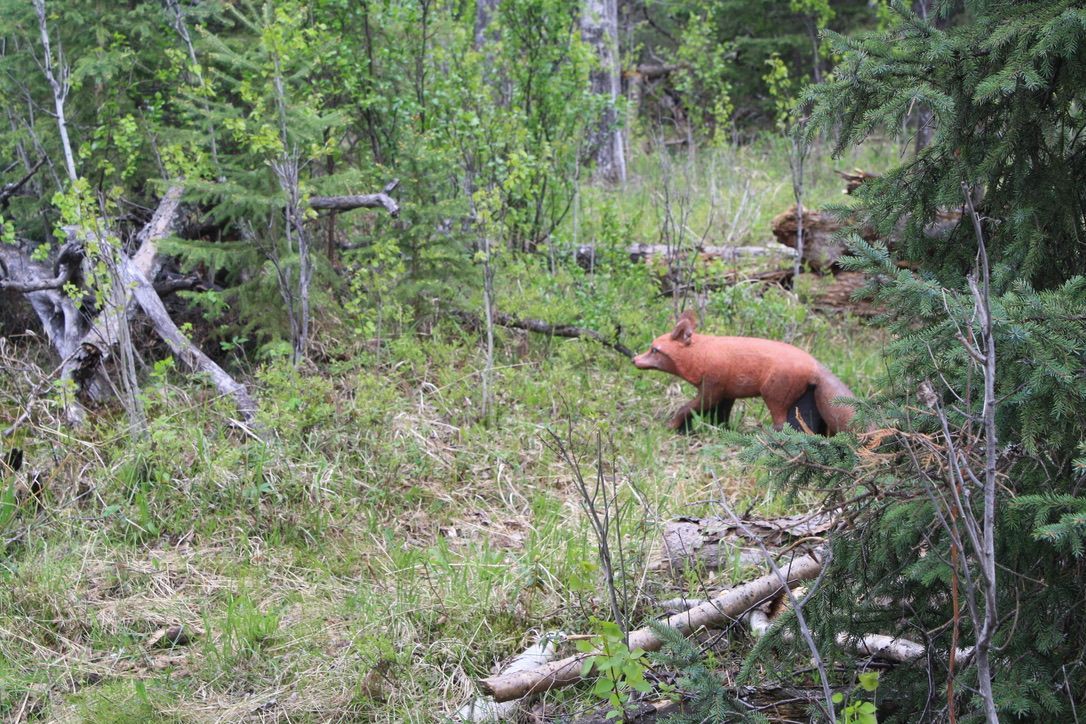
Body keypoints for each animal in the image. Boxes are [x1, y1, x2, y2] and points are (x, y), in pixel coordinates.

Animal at [632, 310, 856, 435]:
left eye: (654, 350)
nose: (634, 359)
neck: (701, 355)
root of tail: (815, 364)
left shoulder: (711, 390)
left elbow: (686, 409)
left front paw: (673, 427)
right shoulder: (727, 394)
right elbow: (720, 418)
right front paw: (720, 432)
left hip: (775, 398)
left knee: (781, 425)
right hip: (802, 405)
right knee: (807, 428)